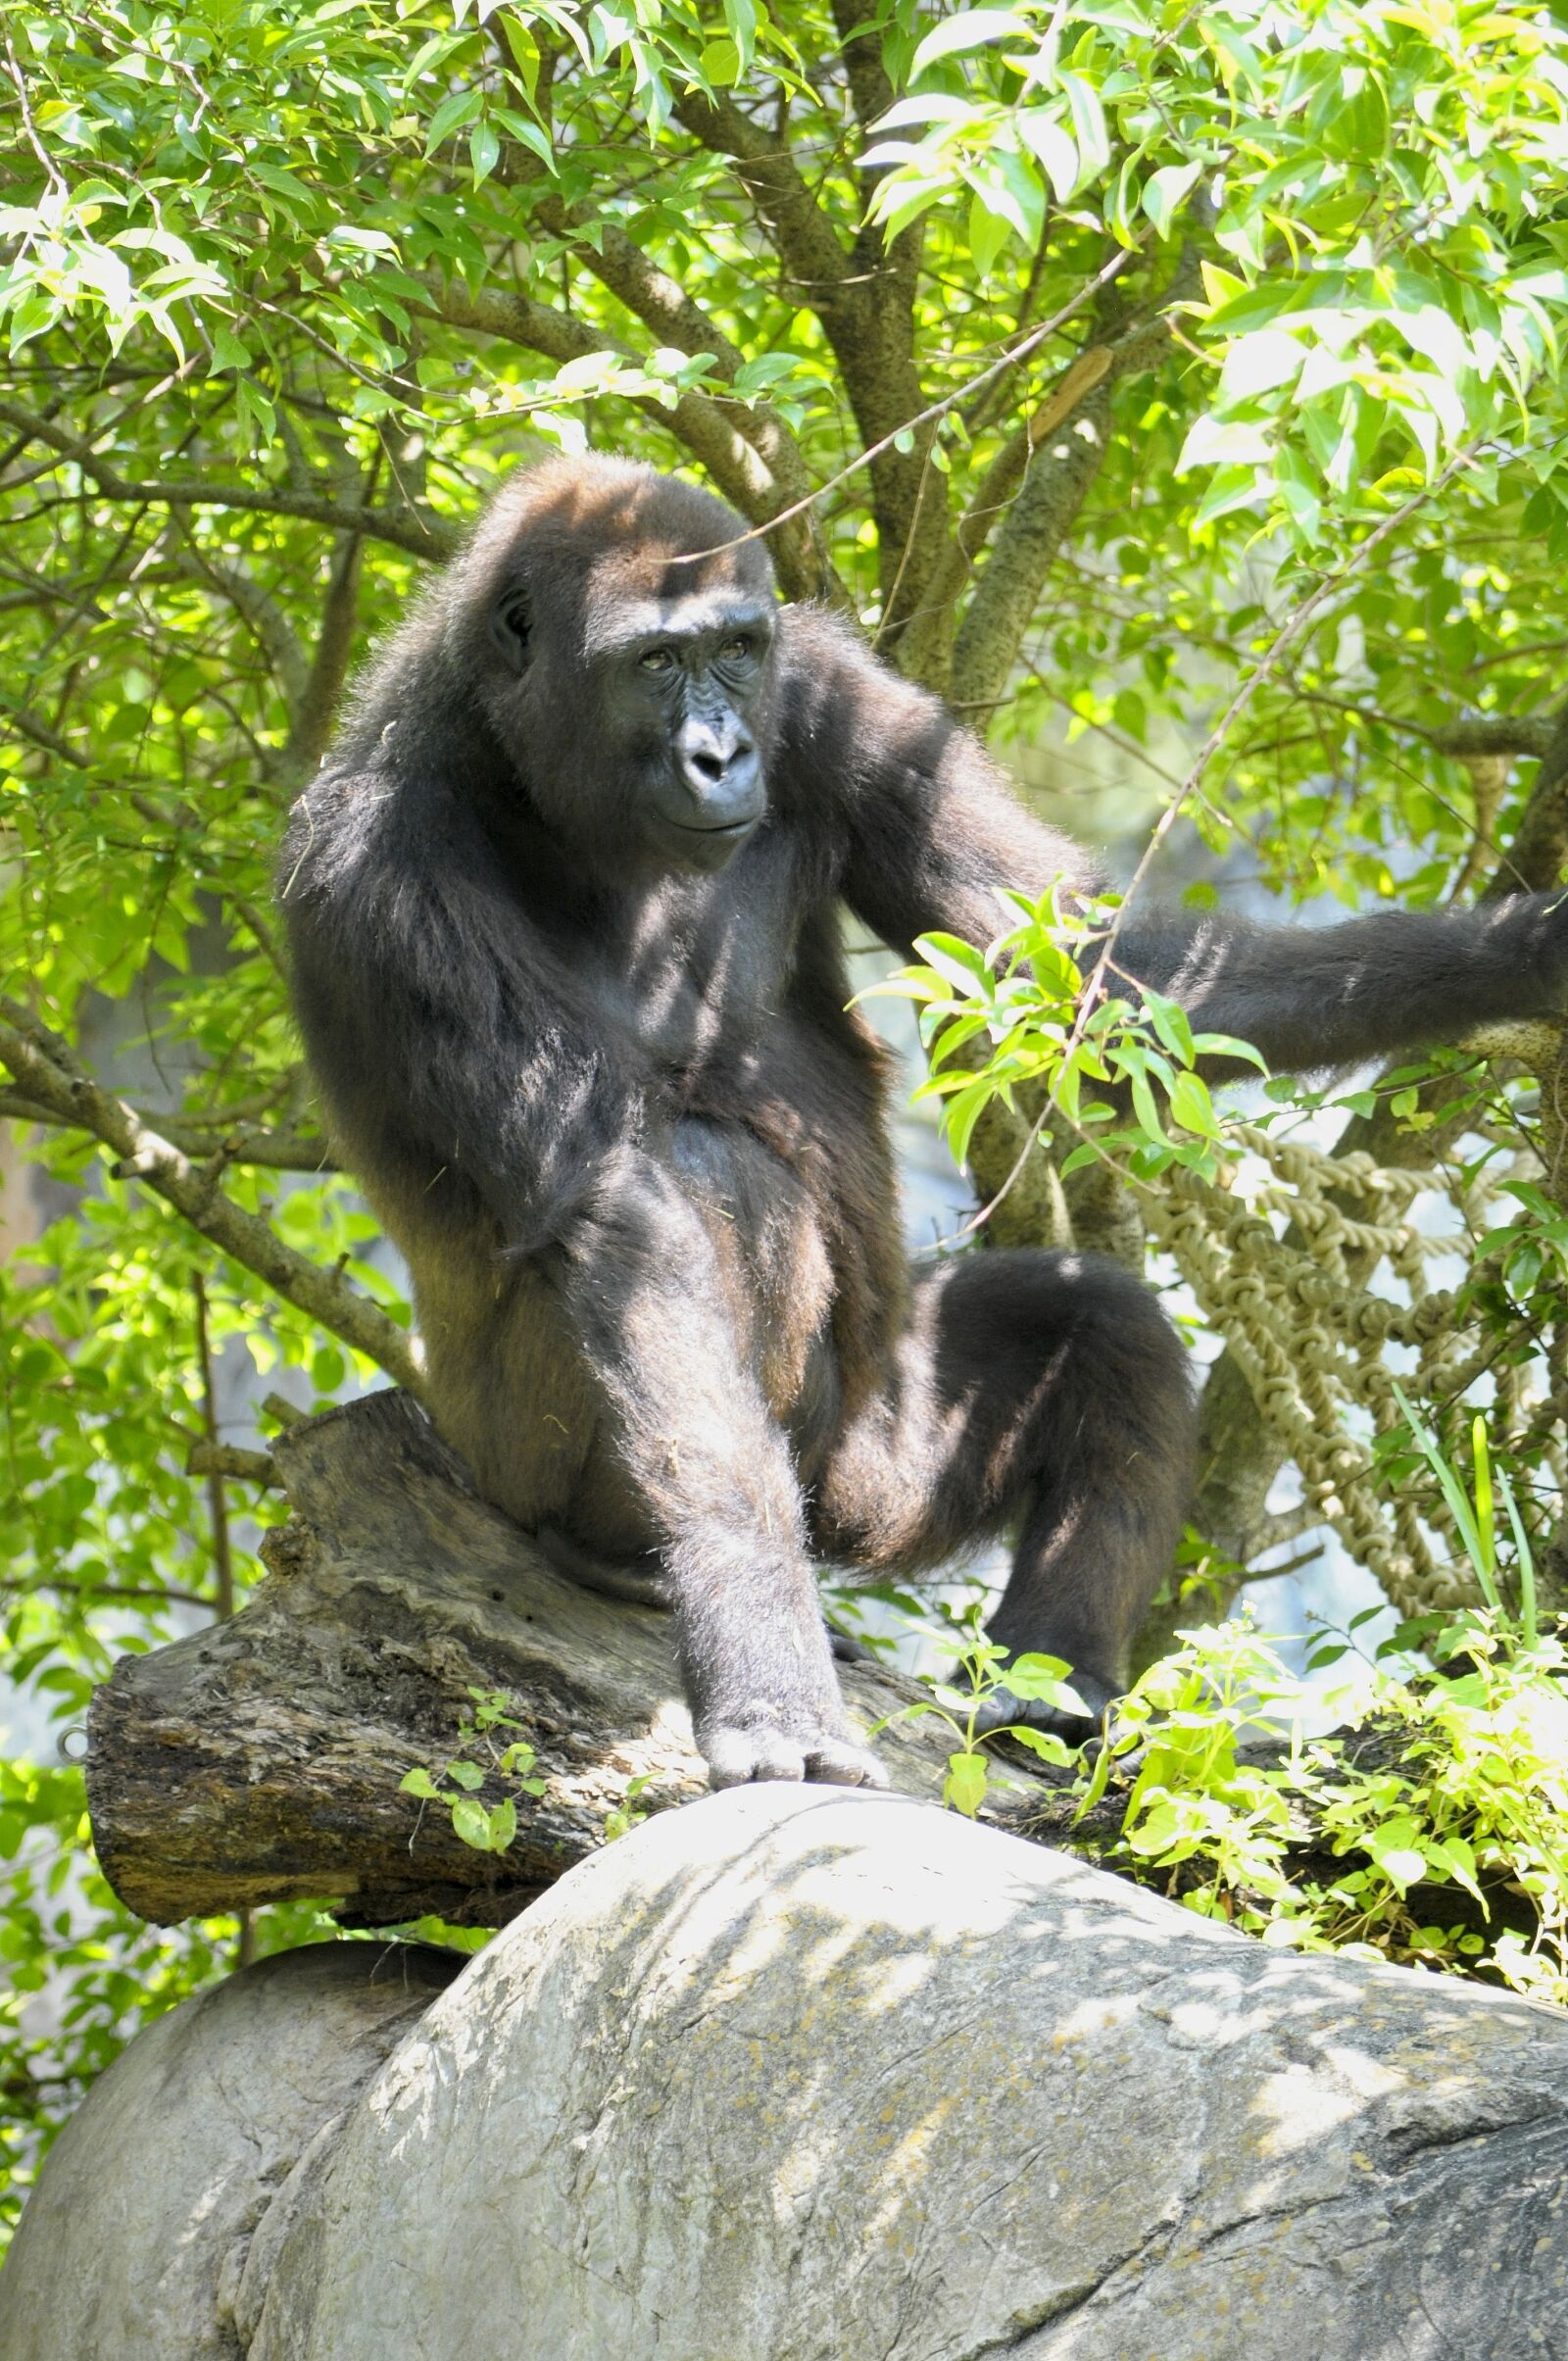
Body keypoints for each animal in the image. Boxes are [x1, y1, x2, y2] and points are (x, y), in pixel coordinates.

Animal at [280, 453, 1568, 1787]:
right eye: (653, 663)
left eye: (735, 651)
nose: (719, 755)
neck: (518, 758)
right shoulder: (385, 865)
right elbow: (633, 1213)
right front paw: (760, 1658)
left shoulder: (833, 699)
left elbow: (1102, 981)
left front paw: (1526, 954)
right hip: (531, 1464)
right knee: (711, 1196)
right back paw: (623, 1557)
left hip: (871, 1465)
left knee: (1093, 1324)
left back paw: (1055, 1682)